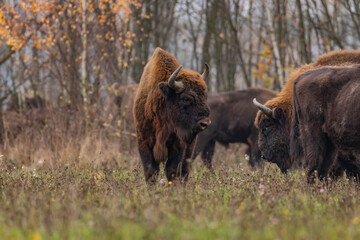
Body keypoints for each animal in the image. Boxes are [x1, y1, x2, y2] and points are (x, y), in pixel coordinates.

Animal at [134, 48, 210, 184]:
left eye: (205, 96)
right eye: (186, 98)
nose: (205, 123)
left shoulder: (177, 145)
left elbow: (172, 171)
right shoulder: (144, 142)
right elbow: (150, 172)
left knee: (185, 171)